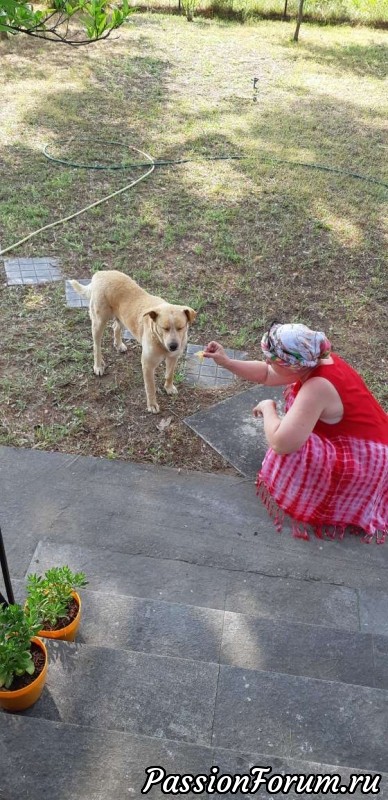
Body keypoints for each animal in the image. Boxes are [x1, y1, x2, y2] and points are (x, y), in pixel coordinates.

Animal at [68, 272, 196, 416]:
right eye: (165, 328)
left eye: (181, 327)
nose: (173, 346)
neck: (160, 342)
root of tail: (100, 273)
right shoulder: (147, 365)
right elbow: (150, 387)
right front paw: (152, 404)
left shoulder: (173, 358)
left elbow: (169, 375)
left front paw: (168, 387)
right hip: (99, 322)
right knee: (96, 346)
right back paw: (98, 366)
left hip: (122, 317)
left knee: (115, 327)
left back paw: (119, 345)